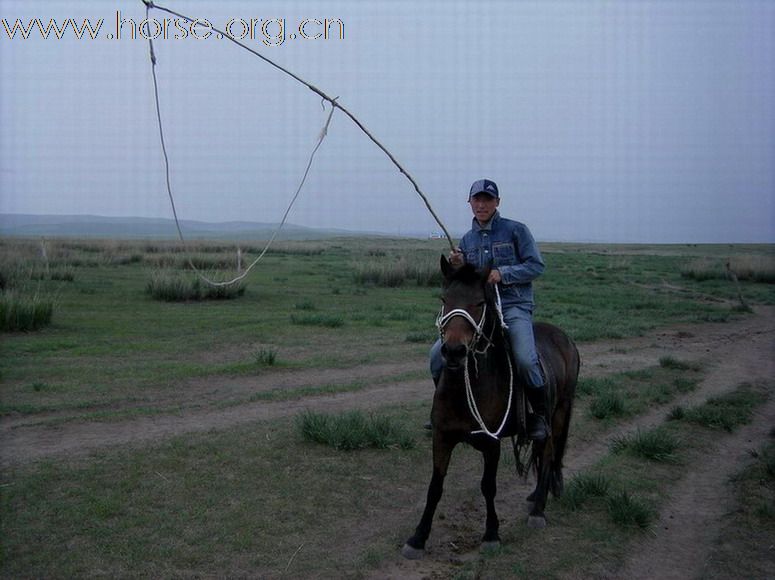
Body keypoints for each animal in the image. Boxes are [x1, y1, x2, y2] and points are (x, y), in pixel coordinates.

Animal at [404, 258, 580, 556]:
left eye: (479, 302)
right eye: (444, 299)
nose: (454, 351)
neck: (467, 387)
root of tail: (564, 338)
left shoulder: (491, 443)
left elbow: (488, 486)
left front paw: (491, 534)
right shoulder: (442, 437)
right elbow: (435, 486)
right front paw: (418, 537)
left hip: (558, 413)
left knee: (548, 456)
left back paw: (539, 511)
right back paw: (536, 497)